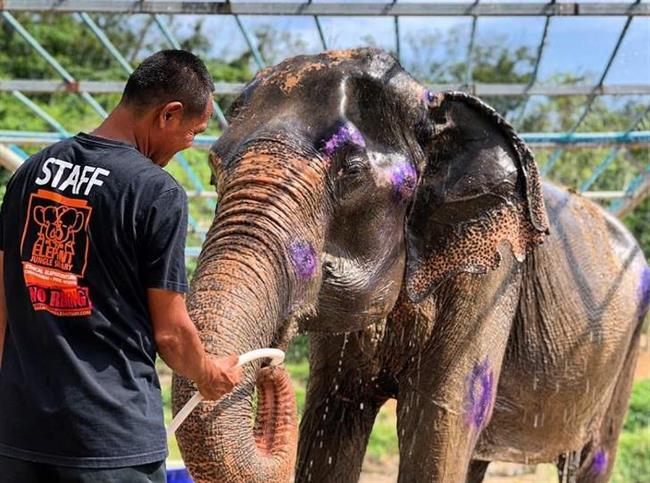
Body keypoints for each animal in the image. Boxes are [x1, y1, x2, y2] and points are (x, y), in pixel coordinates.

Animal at [170, 46, 644, 483]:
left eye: (352, 171)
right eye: (213, 170)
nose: (269, 367)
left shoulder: (491, 275)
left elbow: (441, 416)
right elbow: (332, 414)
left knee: (596, 454)